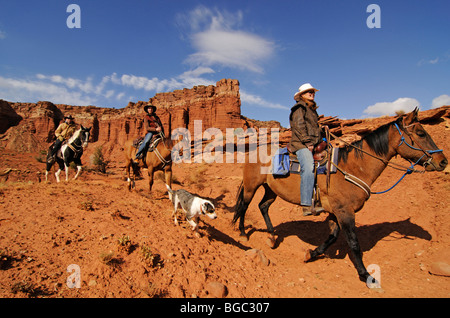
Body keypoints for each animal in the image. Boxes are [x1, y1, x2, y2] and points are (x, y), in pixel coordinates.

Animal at [232, 108, 446, 284]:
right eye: (420, 133)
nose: (443, 161)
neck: (352, 167)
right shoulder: (345, 212)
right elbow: (354, 243)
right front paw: (365, 275)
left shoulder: (336, 212)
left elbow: (333, 237)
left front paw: (312, 253)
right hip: (251, 186)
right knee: (244, 205)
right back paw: (242, 233)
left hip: (271, 190)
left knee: (263, 206)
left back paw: (272, 236)